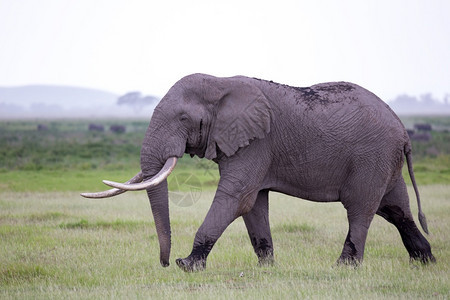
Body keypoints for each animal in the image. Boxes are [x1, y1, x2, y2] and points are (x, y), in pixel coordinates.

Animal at [81, 73, 436, 272]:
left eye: (183, 119)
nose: (164, 263)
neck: (221, 83)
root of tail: (404, 131)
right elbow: (253, 204)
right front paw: (267, 268)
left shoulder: (256, 142)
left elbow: (236, 196)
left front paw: (188, 266)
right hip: (385, 161)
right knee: (396, 209)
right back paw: (425, 262)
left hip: (371, 158)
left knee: (361, 209)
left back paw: (344, 268)